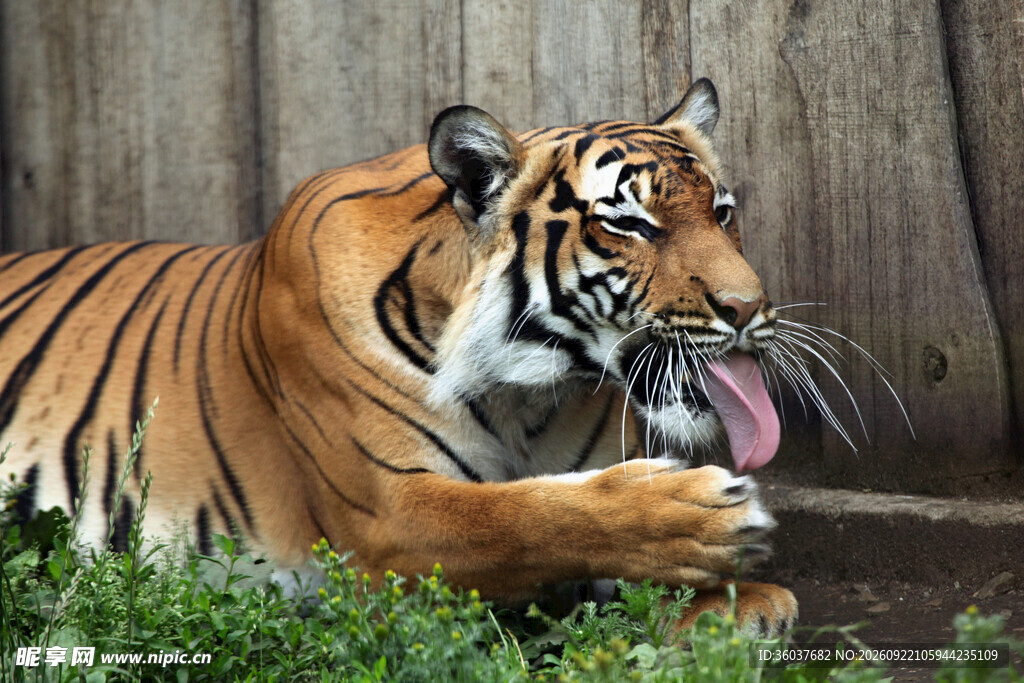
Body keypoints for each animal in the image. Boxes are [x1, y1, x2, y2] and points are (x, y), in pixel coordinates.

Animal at [0, 78, 797, 635]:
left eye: (721, 212)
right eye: (629, 224)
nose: (748, 307)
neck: (530, 391)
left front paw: (740, 605)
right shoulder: (388, 517)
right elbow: (526, 516)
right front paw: (705, 519)